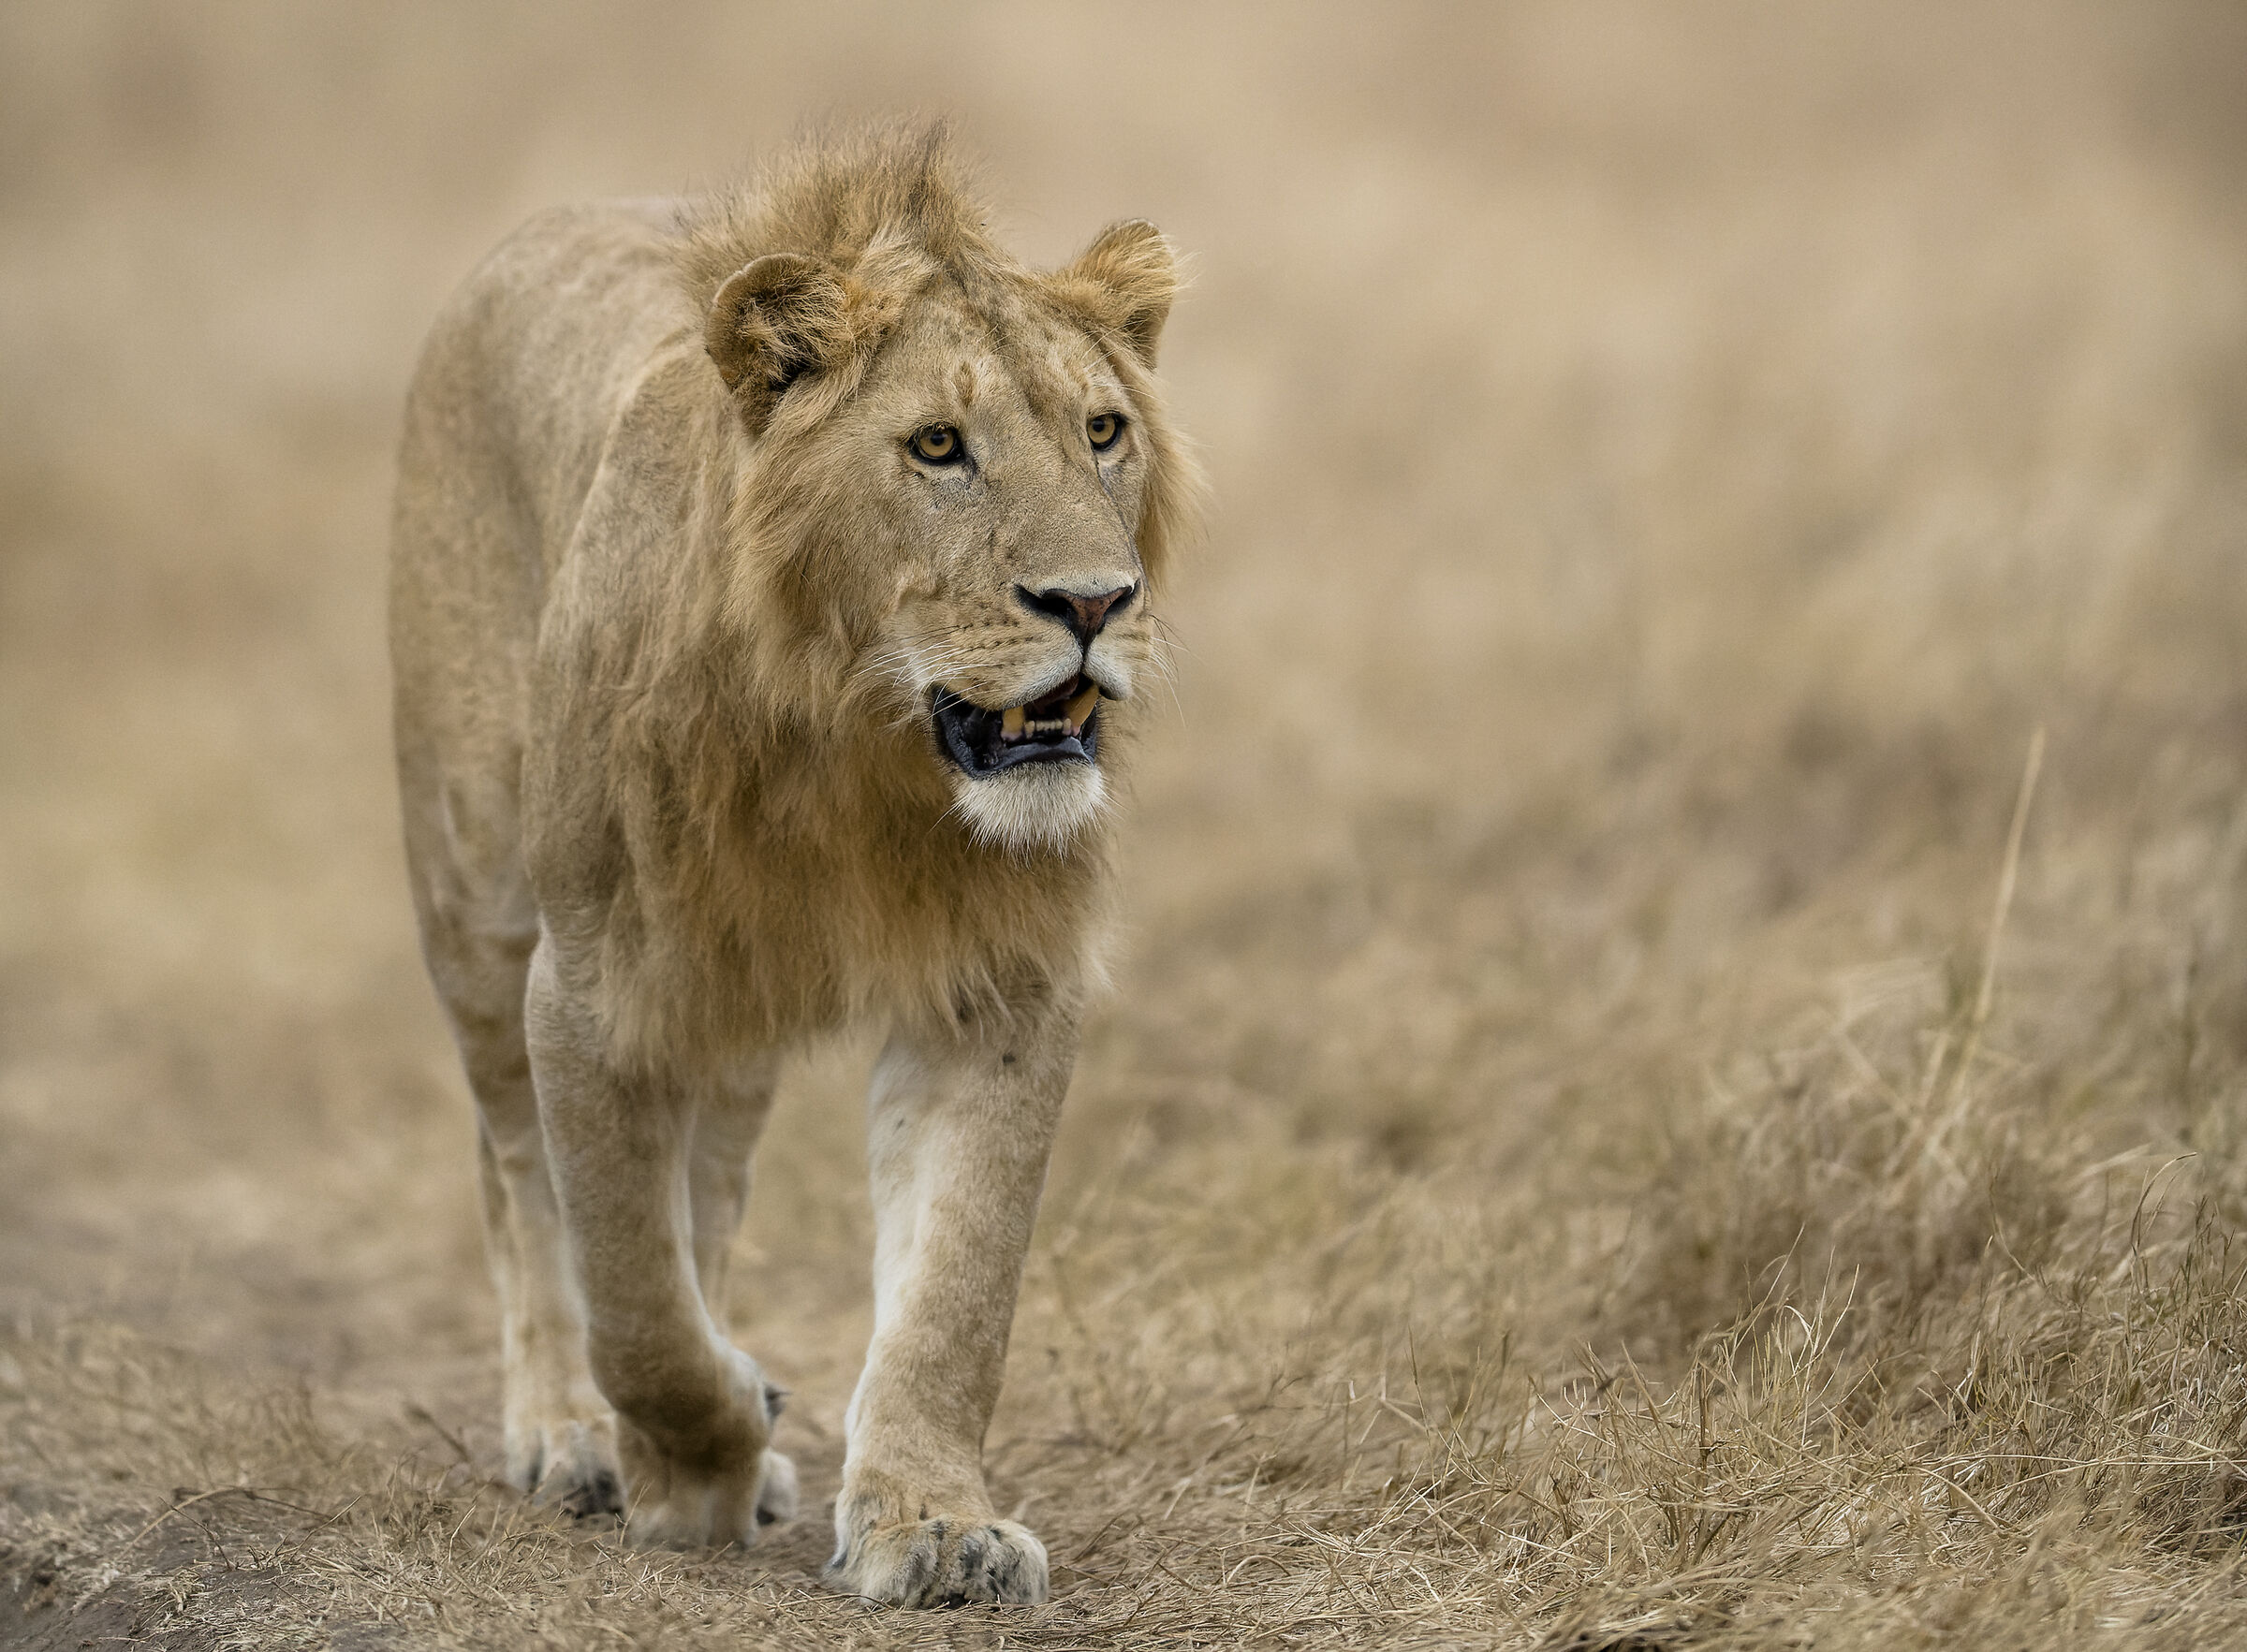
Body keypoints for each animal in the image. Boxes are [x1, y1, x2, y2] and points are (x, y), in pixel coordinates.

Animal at [387, 123, 1196, 1608]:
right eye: (938, 447)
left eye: (1102, 431)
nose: (1096, 602)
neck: (860, 745)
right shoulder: (587, 989)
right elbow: (631, 1291)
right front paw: (692, 1464)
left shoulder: (1002, 984)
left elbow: (956, 1289)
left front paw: (932, 1524)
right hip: (474, 895)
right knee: (517, 1173)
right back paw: (571, 1433)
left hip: (724, 1003)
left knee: (704, 1185)